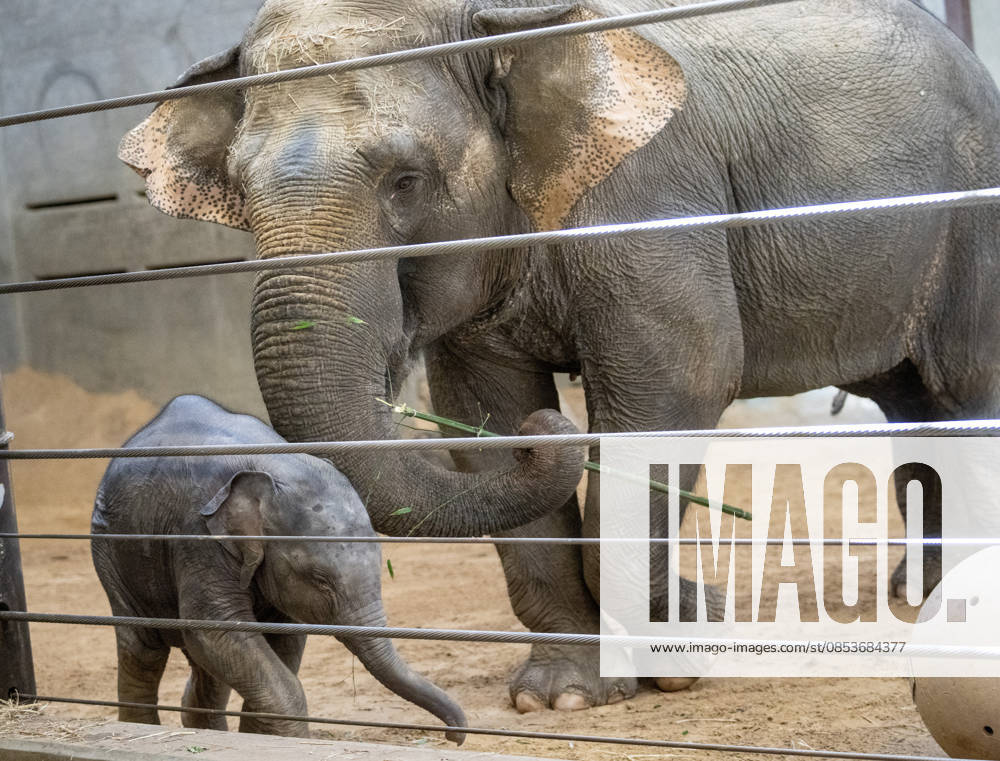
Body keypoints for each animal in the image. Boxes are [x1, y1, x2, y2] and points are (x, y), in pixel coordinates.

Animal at [91, 395, 467, 740]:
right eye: (320, 580)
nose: (455, 735)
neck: (273, 467)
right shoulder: (197, 538)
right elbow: (216, 630)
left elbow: (279, 639)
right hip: (110, 550)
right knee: (144, 649)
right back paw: (139, 726)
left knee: (205, 668)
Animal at [119, 0, 1000, 712]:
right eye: (238, 189)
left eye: (406, 181)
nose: (556, 426)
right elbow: (484, 412)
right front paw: (562, 695)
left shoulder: (648, 198)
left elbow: (676, 387)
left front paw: (673, 653)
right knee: (915, 408)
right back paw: (919, 591)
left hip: (972, 213)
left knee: (964, 393)